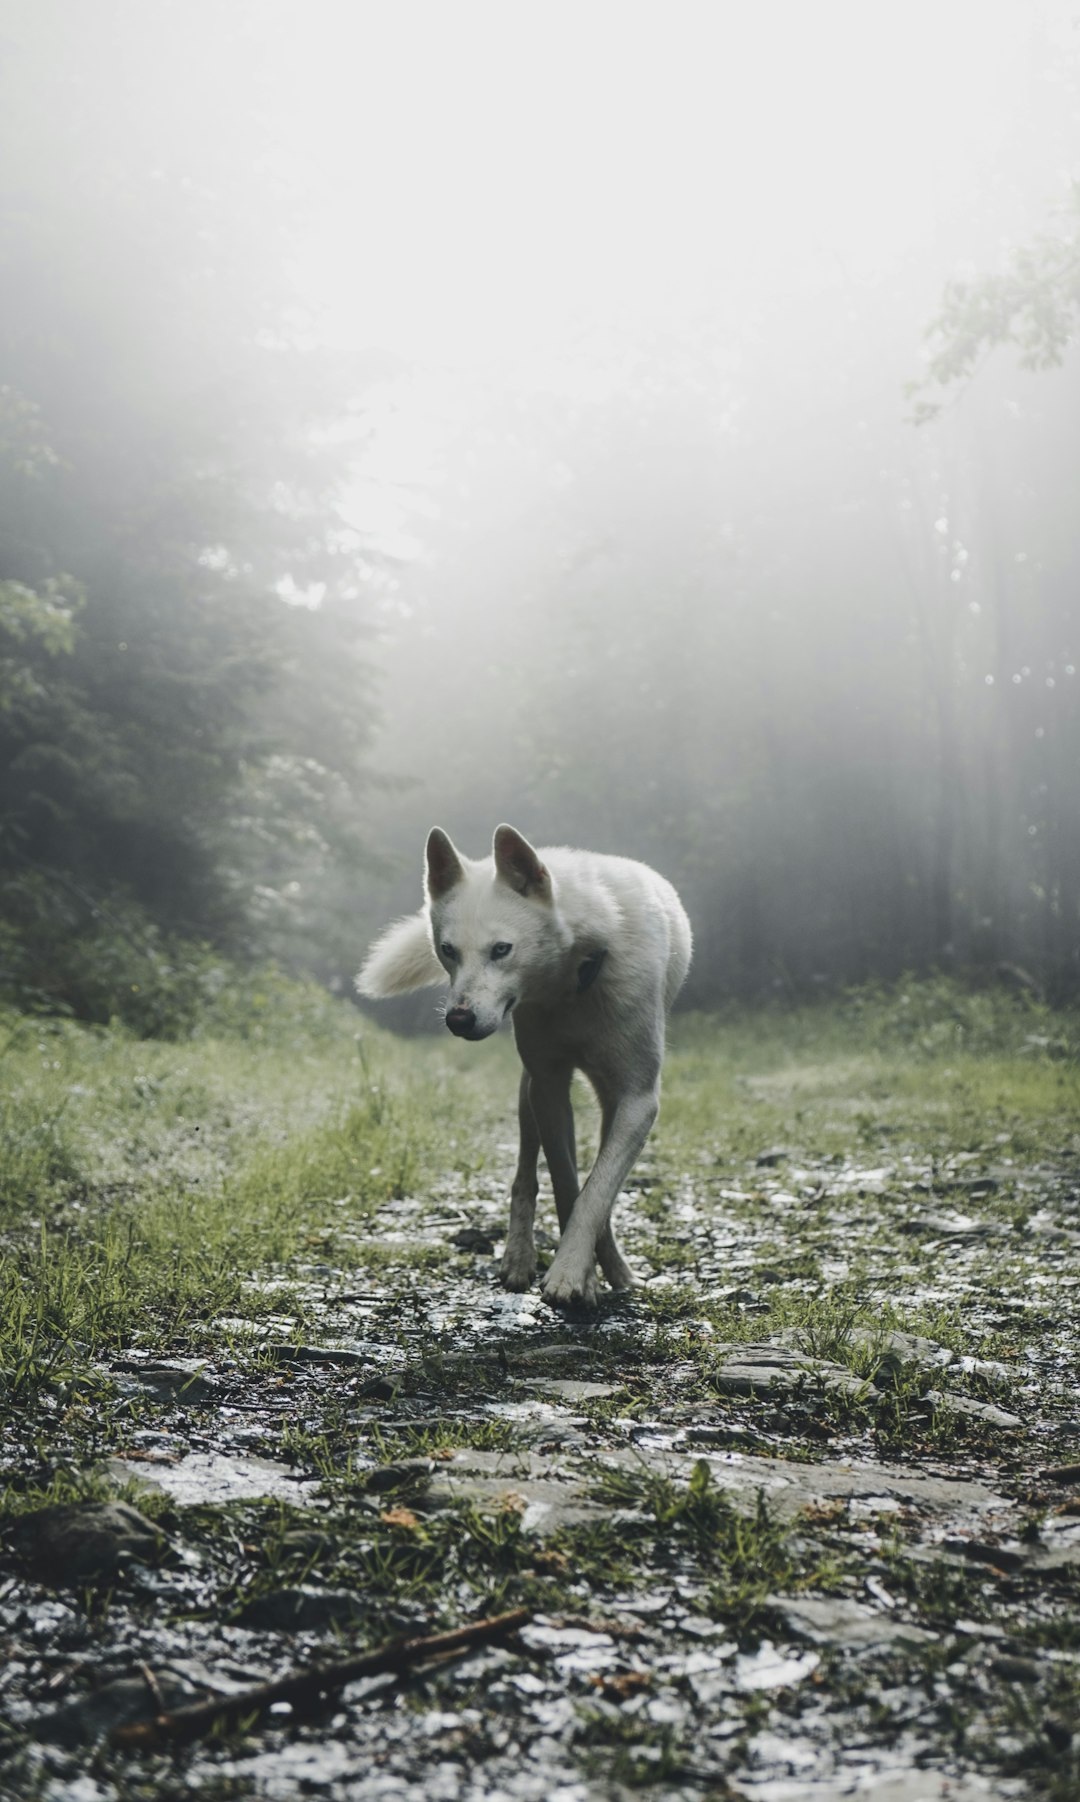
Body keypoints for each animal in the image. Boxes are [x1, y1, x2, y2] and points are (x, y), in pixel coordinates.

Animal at [356, 825, 692, 1311]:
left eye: (502, 950)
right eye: (448, 951)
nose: (458, 1020)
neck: (575, 980)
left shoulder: (638, 1100)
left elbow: (596, 1191)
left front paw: (574, 1272)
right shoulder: (548, 1087)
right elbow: (568, 1186)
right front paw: (581, 1275)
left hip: (606, 1099)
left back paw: (618, 1269)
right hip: (528, 1092)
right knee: (524, 1175)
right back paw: (519, 1258)